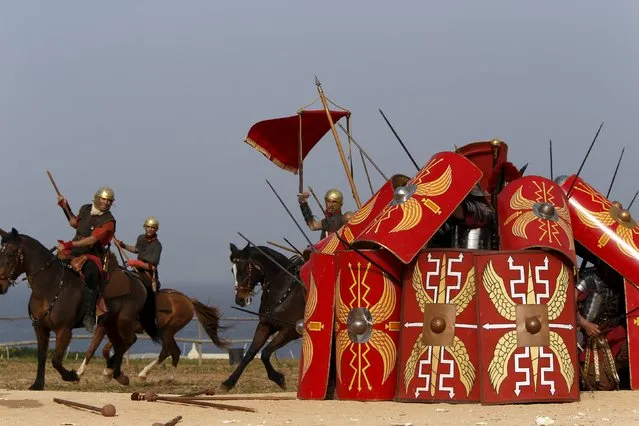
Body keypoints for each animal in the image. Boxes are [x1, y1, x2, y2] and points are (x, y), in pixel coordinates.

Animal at [0, 228, 158, 392]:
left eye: (10, 254)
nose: (0, 285)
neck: (51, 285)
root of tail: (137, 280)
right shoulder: (40, 328)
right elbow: (42, 356)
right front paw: (37, 384)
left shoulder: (64, 330)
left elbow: (56, 360)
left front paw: (72, 376)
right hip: (109, 324)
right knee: (119, 343)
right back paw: (115, 373)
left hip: (123, 321)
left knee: (128, 341)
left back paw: (113, 372)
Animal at [221, 243, 306, 392]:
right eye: (232, 270)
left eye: (243, 269)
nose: (240, 300)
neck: (282, 290)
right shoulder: (265, 326)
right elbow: (250, 354)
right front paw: (229, 382)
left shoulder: (290, 331)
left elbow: (265, 353)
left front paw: (279, 379)